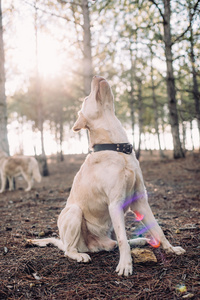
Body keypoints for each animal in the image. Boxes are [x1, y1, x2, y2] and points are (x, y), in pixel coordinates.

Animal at [30, 75, 185, 276]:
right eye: (86, 98)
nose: (96, 76)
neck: (118, 149)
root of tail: (93, 246)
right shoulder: (115, 203)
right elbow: (123, 239)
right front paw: (125, 265)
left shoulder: (140, 201)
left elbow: (157, 229)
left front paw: (171, 249)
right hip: (74, 213)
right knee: (70, 250)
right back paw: (79, 255)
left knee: (115, 242)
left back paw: (138, 241)